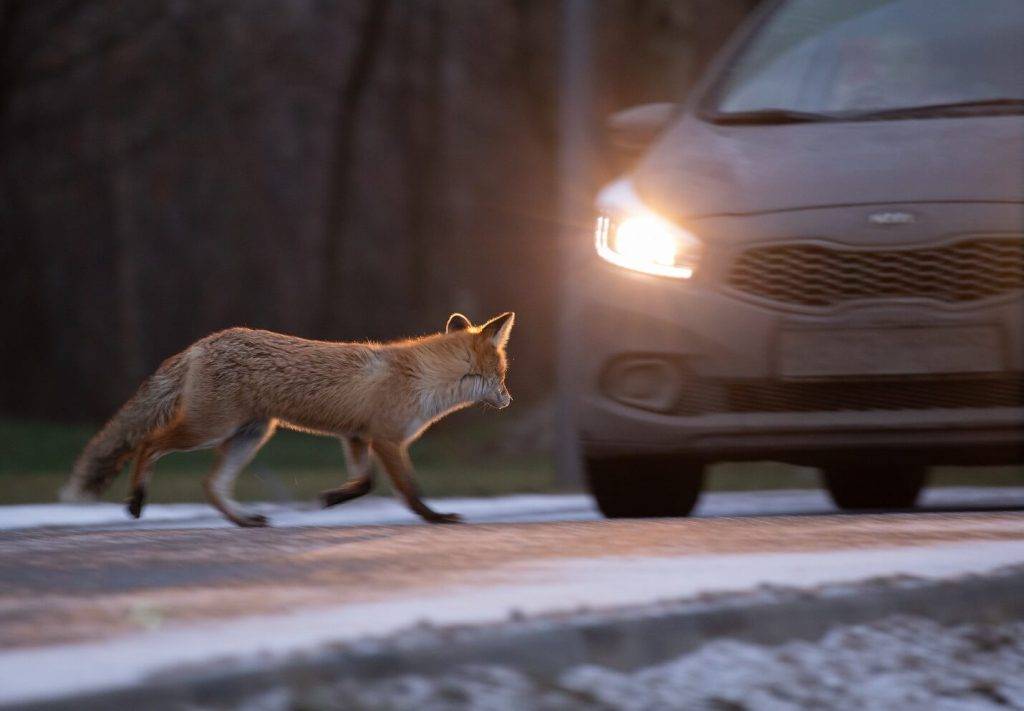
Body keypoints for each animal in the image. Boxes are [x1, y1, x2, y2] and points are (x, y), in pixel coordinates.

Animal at [59, 313, 516, 528]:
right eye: (501, 376)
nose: (510, 400)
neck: (422, 378)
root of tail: (203, 343)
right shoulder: (387, 440)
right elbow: (410, 491)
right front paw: (436, 518)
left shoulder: (356, 436)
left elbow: (364, 483)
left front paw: (329, 499)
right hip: (209, 429)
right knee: (148, 443)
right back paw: (137, 500)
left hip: (250, 434)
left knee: (211, 484)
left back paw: (244, 520)